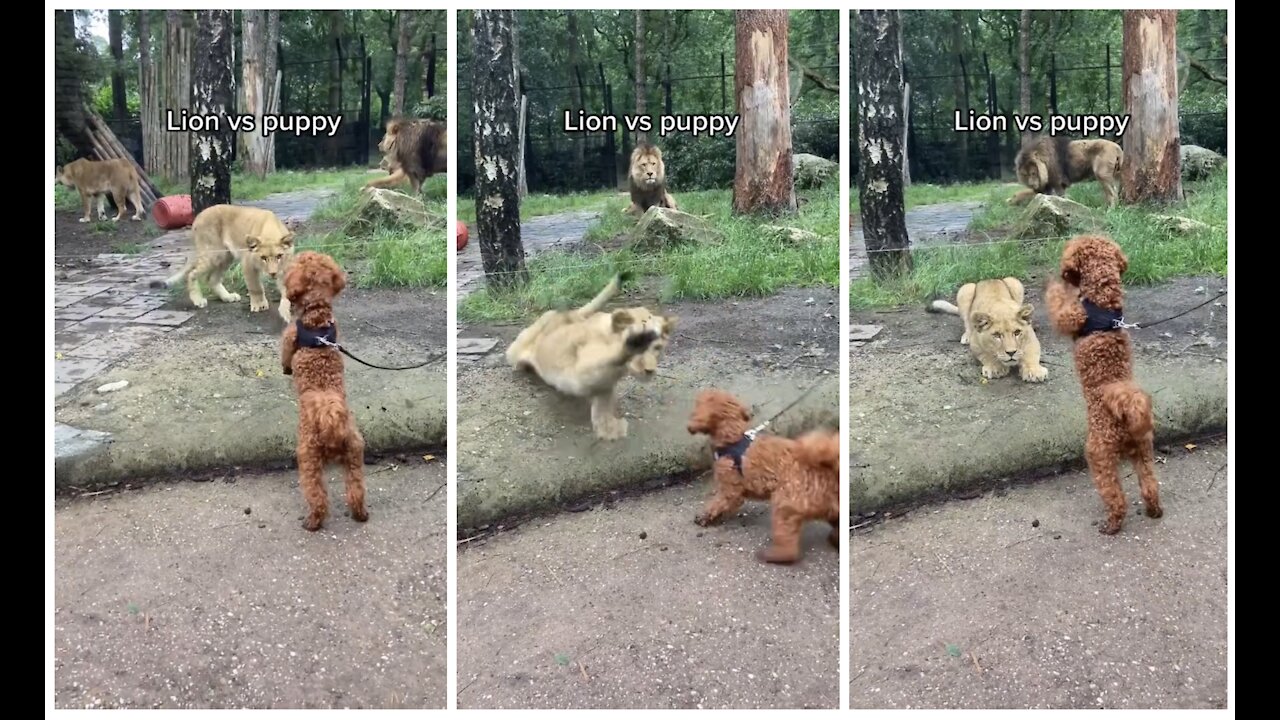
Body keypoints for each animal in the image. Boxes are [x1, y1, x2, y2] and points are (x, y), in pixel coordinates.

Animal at [276, 249, 366, 530]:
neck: (316, 317)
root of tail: (330, 418)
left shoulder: (288, 339)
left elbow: (285, 355)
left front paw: (286, 369)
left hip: (308, 458)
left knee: (317, 496)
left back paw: (312, 522)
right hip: (354, 455)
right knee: (356, 490)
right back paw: (360, 514)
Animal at [691, 386, 839, 561]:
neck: (733, 438)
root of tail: (827, 470)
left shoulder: (730, 489)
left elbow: (718, 503)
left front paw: (704, 517)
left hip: (785, 505)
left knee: (788, 546)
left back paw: (773, 555)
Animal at [1044, 235, 1167, 532]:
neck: (1103, 301)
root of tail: (1126, 413)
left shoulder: (1071, 315)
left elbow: (1058, 302)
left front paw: (1055, 285)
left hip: (1099, 455)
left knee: (1115, 495)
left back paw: (1111, 524)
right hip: (1143, 451)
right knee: (1149, 485)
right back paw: (1154, 510)